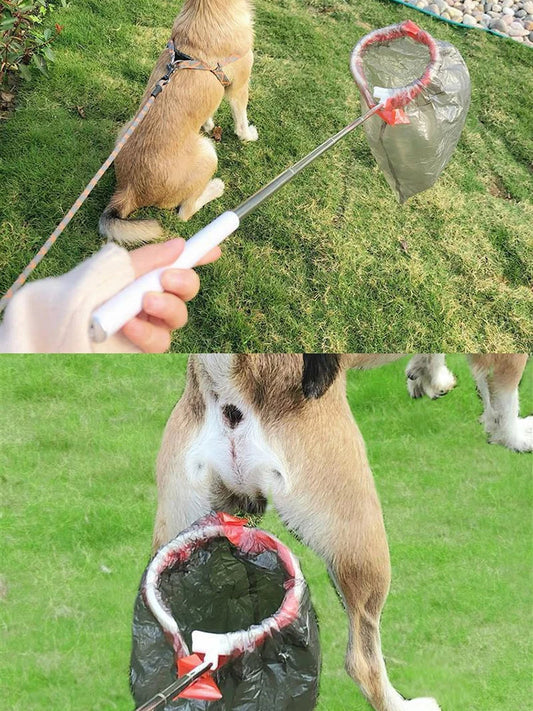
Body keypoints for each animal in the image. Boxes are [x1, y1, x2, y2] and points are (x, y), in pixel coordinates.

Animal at [101, 0, 258, 245]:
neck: (206, 9)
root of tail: (129, 190)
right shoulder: (238, 88)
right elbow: (241, 121)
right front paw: (248, 135)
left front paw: (208, 125)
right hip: (208, 155)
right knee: (186, 211)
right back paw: (214, 188)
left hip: (125, 128)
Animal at [152, 358, 528, 711]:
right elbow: (505, 396)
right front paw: (516, 437)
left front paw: (429, 377)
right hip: (360, 544)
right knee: (362, 660)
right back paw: (405, 705)